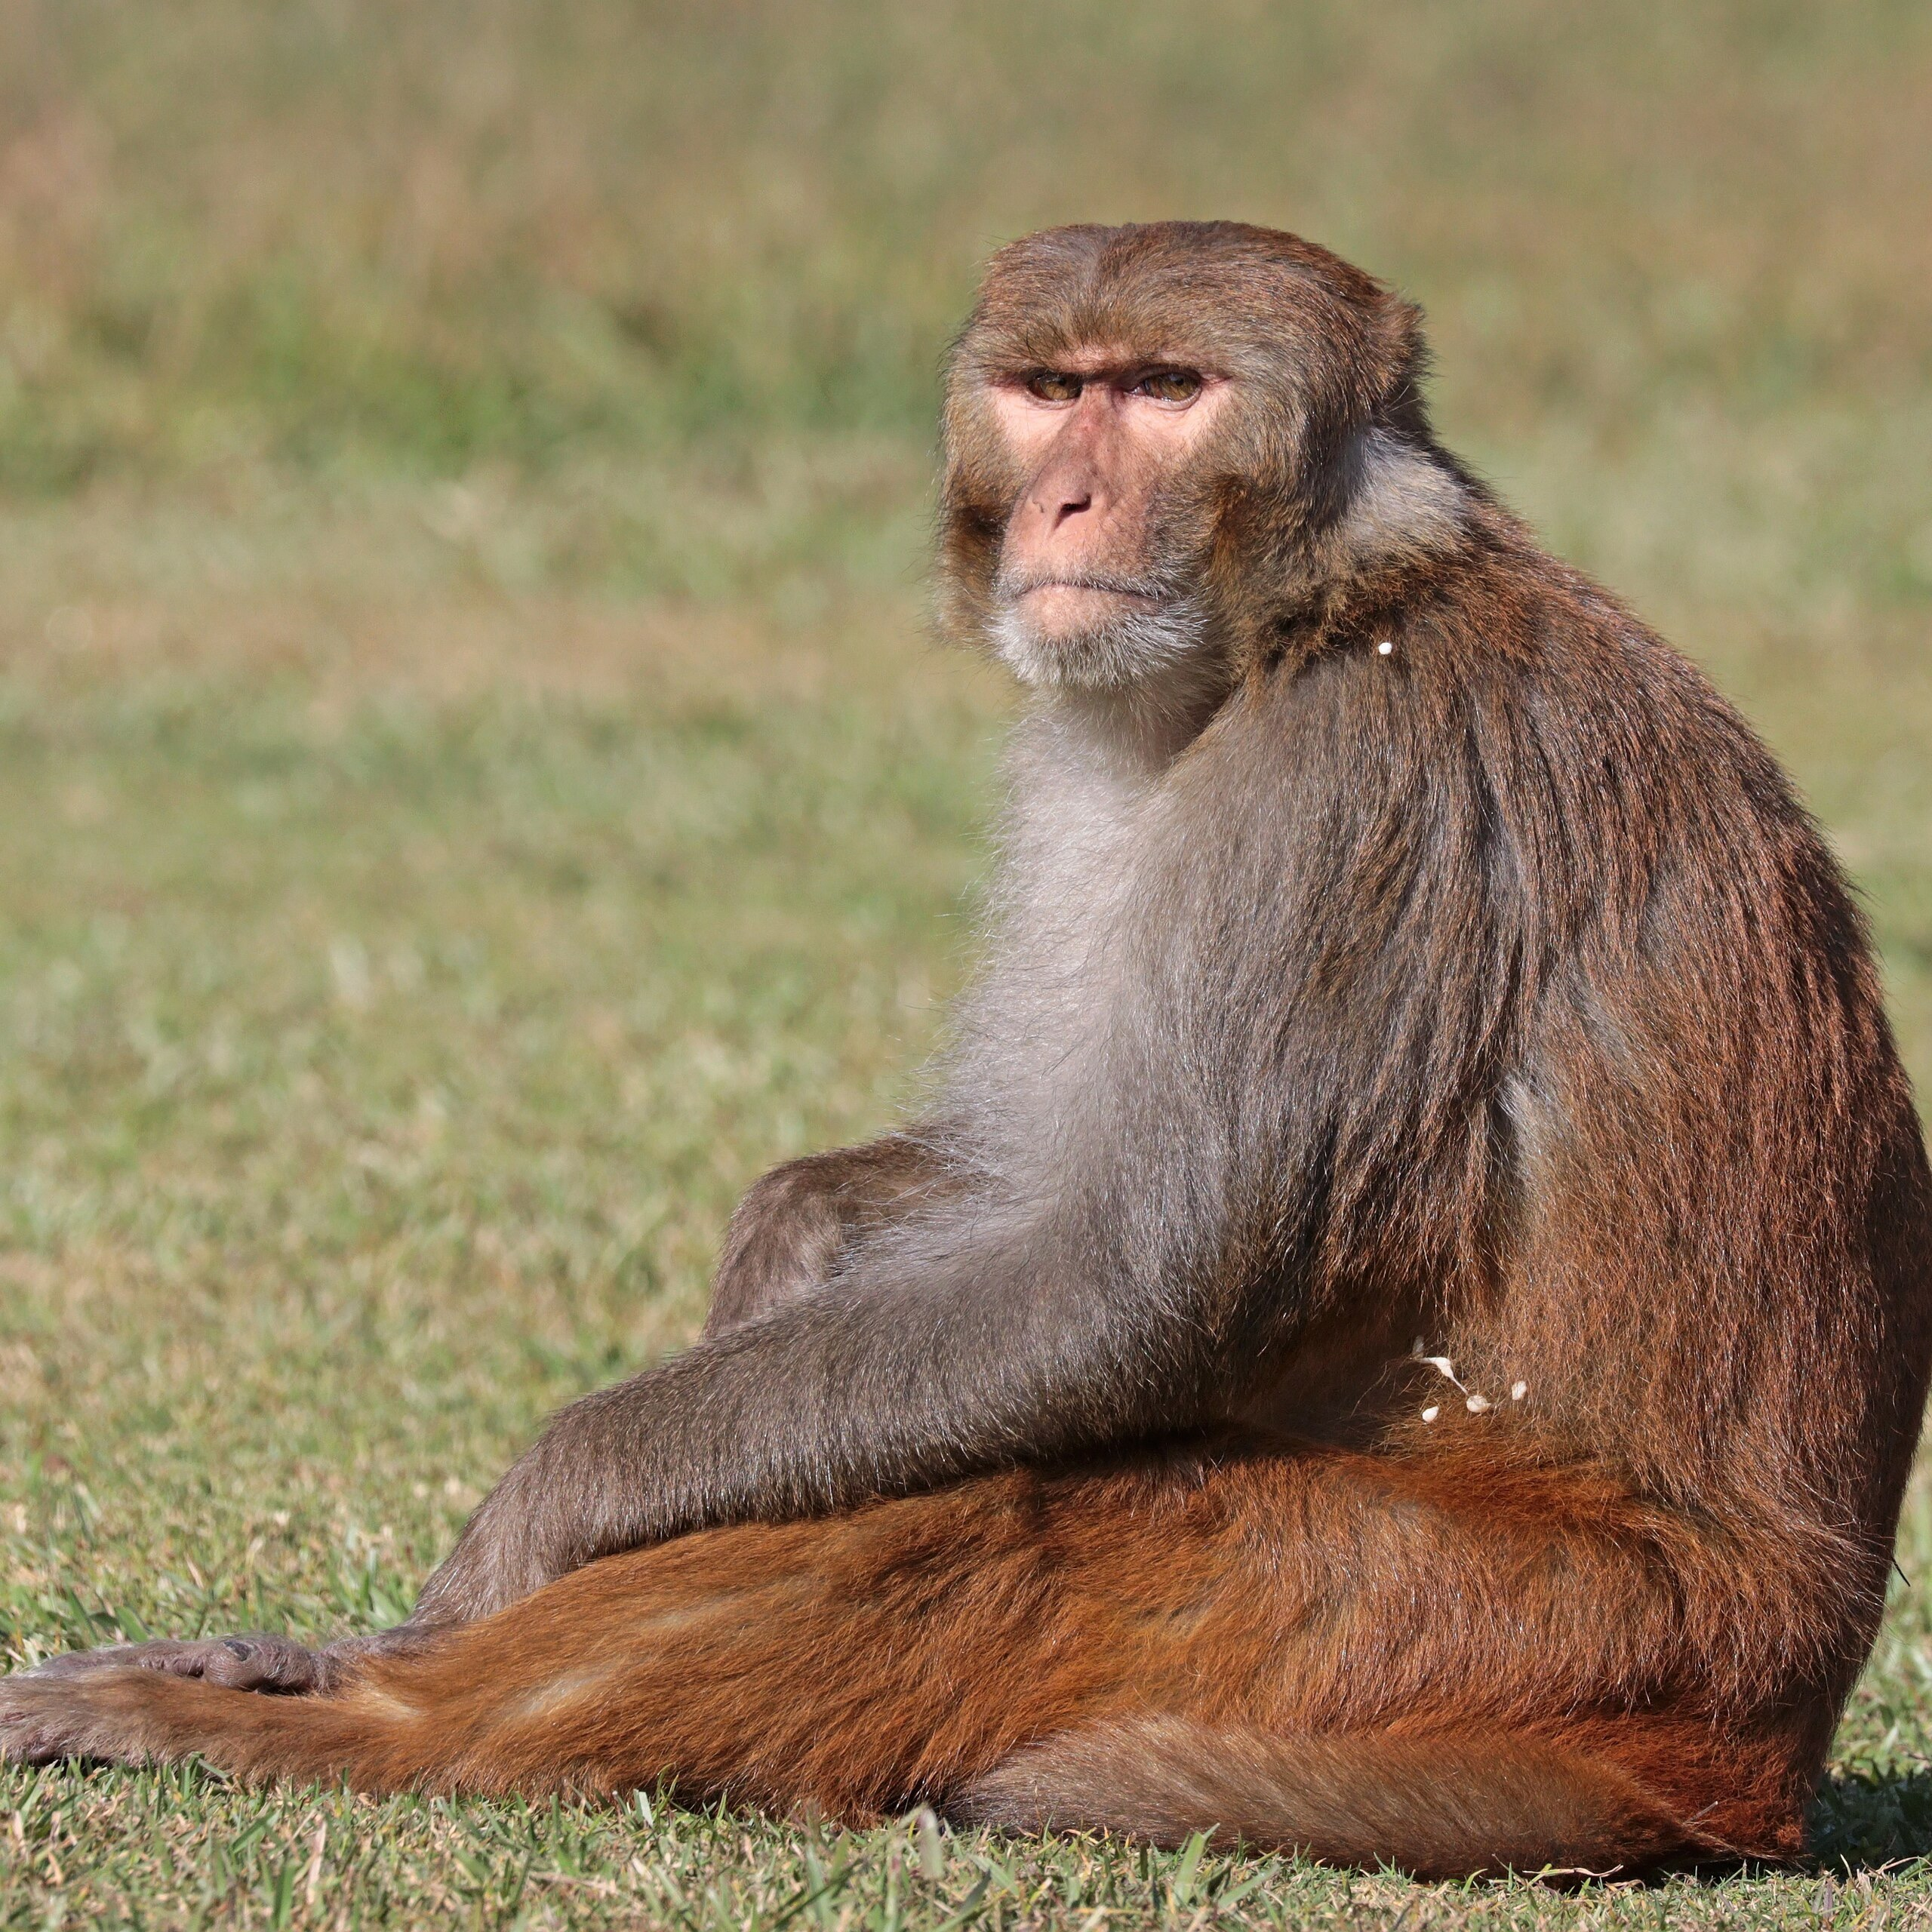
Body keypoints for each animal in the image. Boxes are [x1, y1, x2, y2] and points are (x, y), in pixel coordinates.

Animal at [3, 220, 1928, 1880]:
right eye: (1047, 386)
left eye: (1164, 391)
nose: (1066, 495)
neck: (1292, 619)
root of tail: (1748, 1756)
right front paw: (790, 1233)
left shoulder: (1358, 782)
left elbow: (1132, 1276)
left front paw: (535, 1519)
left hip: (1488, 1617)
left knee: (1009, 1519)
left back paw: (350, 1725)